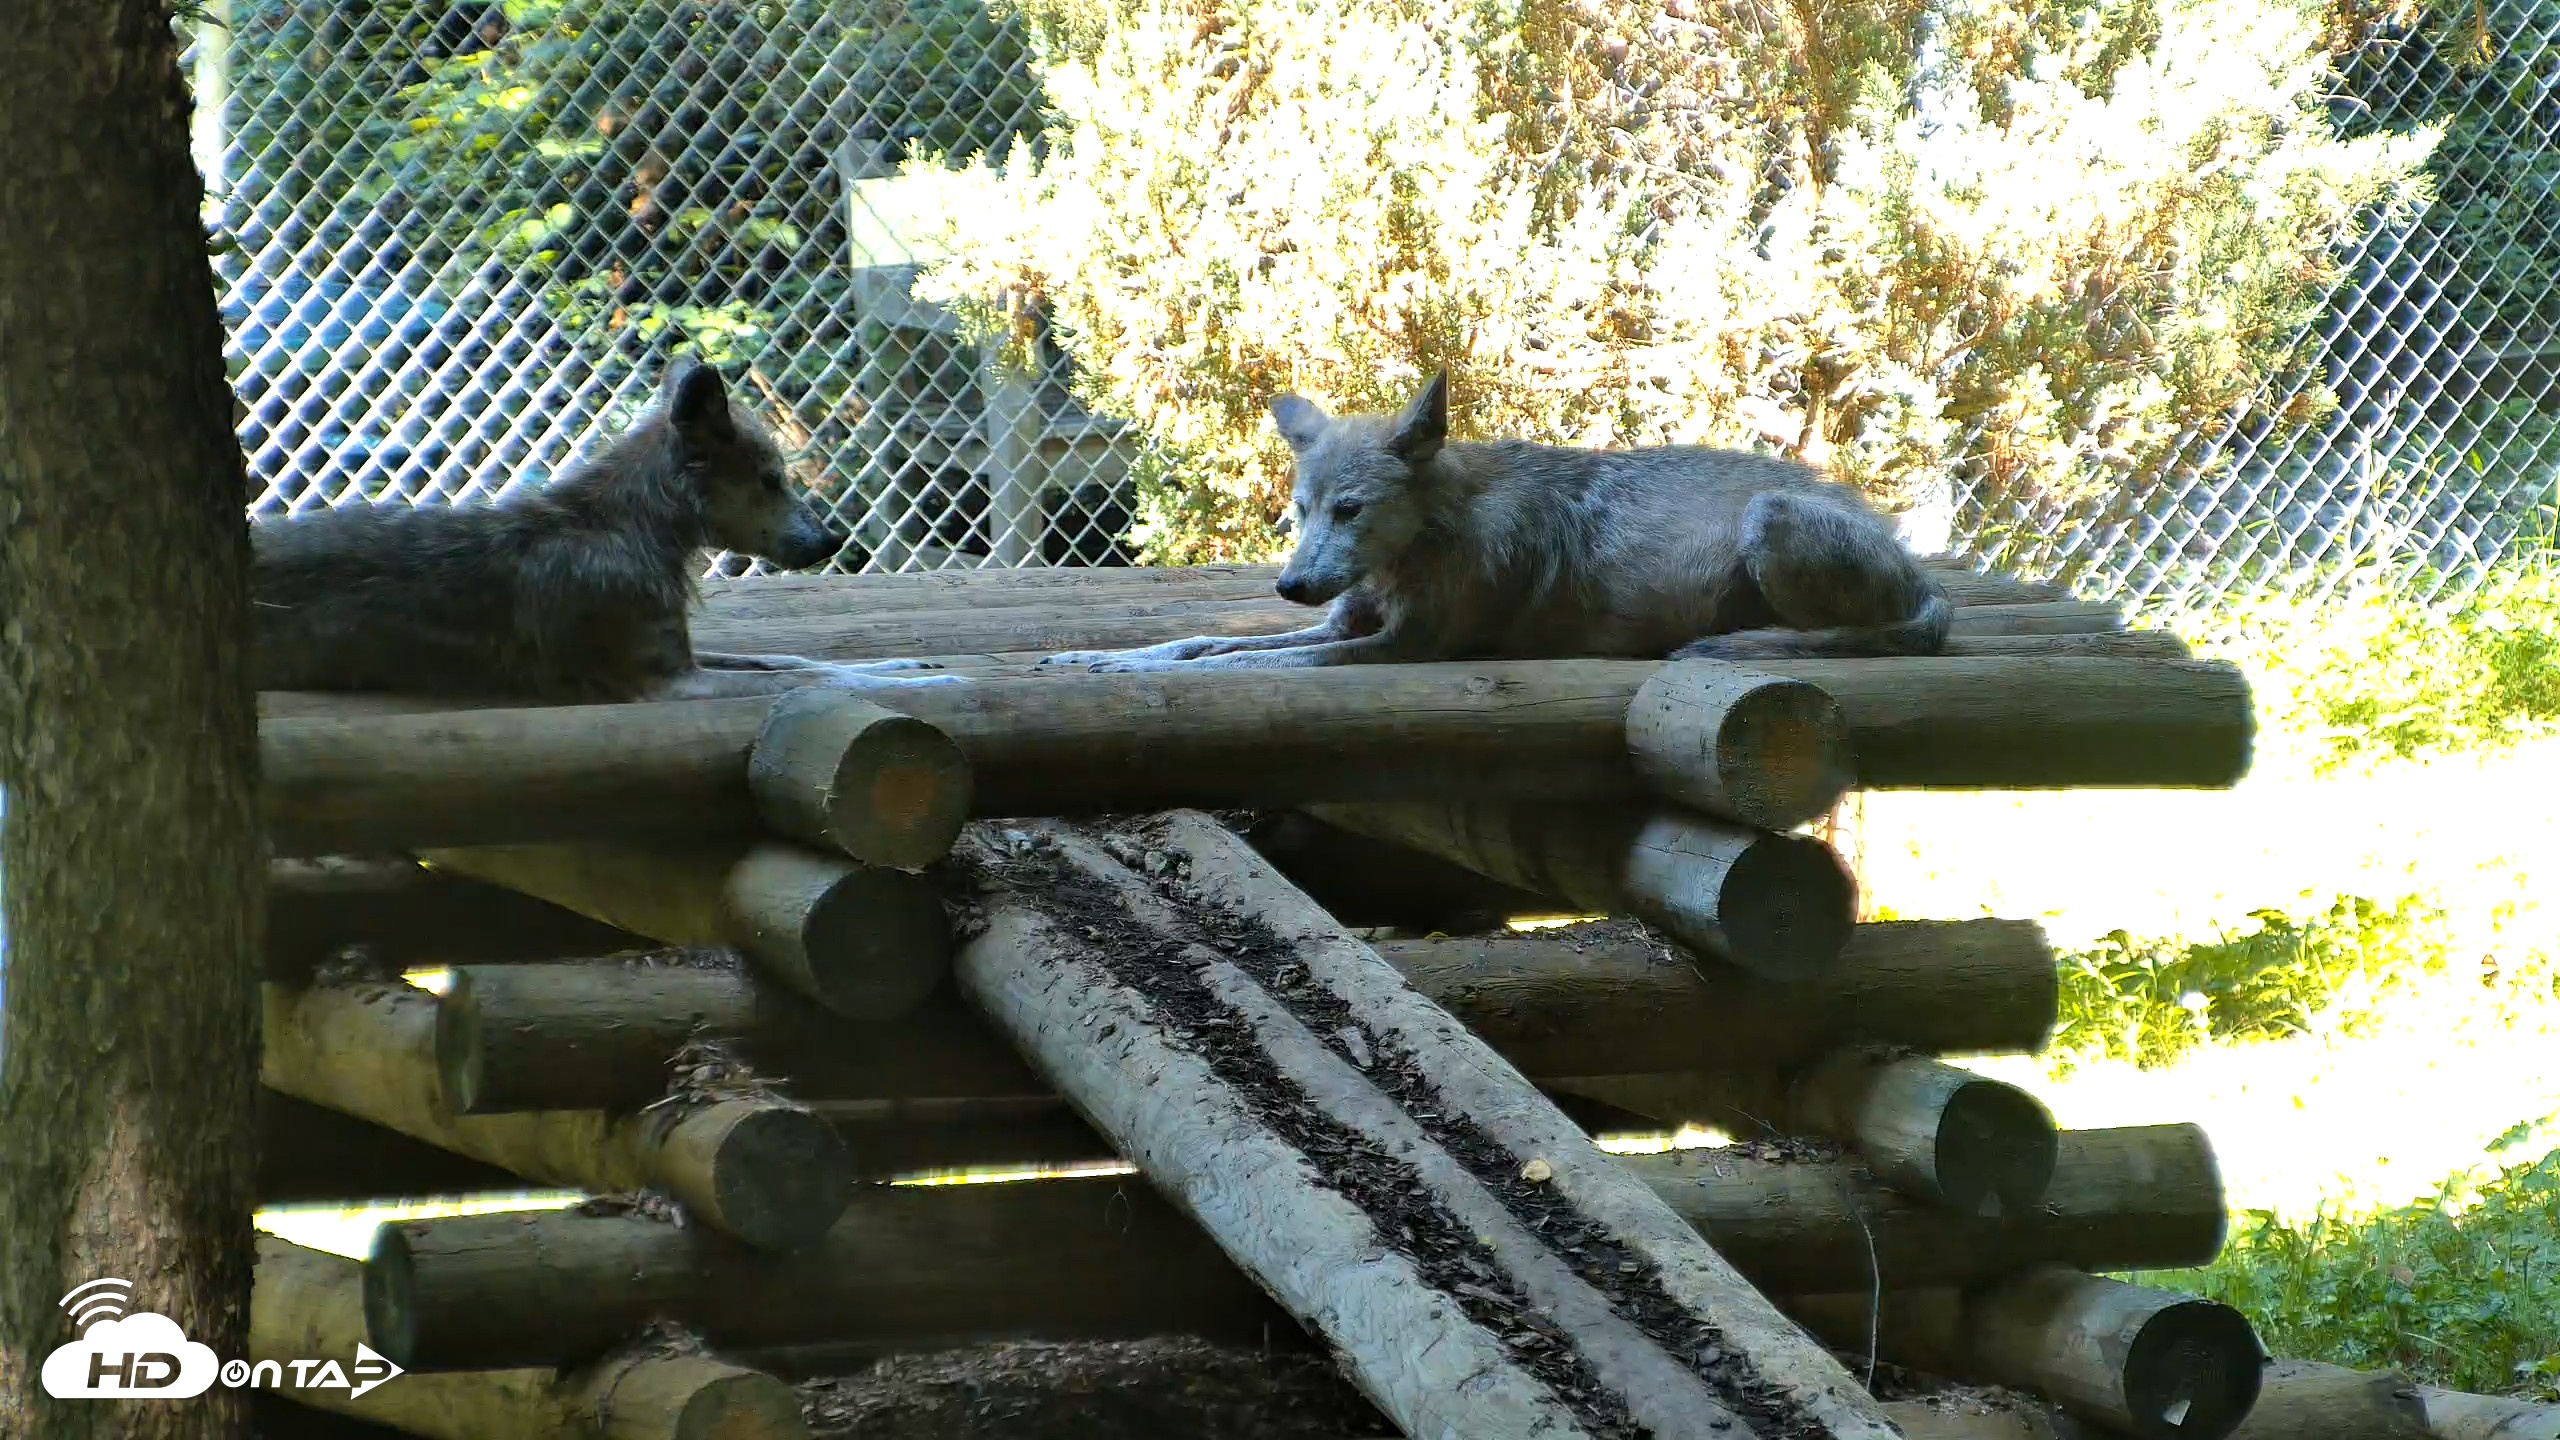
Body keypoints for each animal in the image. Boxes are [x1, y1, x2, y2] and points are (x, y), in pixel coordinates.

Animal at [252, 358, 960, 703]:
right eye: (770, 480)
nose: (833, 543)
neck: (624, 528)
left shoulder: (688, 657)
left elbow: (797, 660)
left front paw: (906, 665)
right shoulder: (669, 683)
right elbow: (804, 678)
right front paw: (929, 685)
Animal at [1039, 370, 1951, 673]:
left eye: (1349, 511)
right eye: (1298, 514)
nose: (1290, 585)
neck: (1424, 545)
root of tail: (1920, 569)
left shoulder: (1399, 648)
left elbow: (1246, 664)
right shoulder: (1343, 624)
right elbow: (1199, 643)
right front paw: (1096, 659)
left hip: (1769, 516)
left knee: (1834, 637)